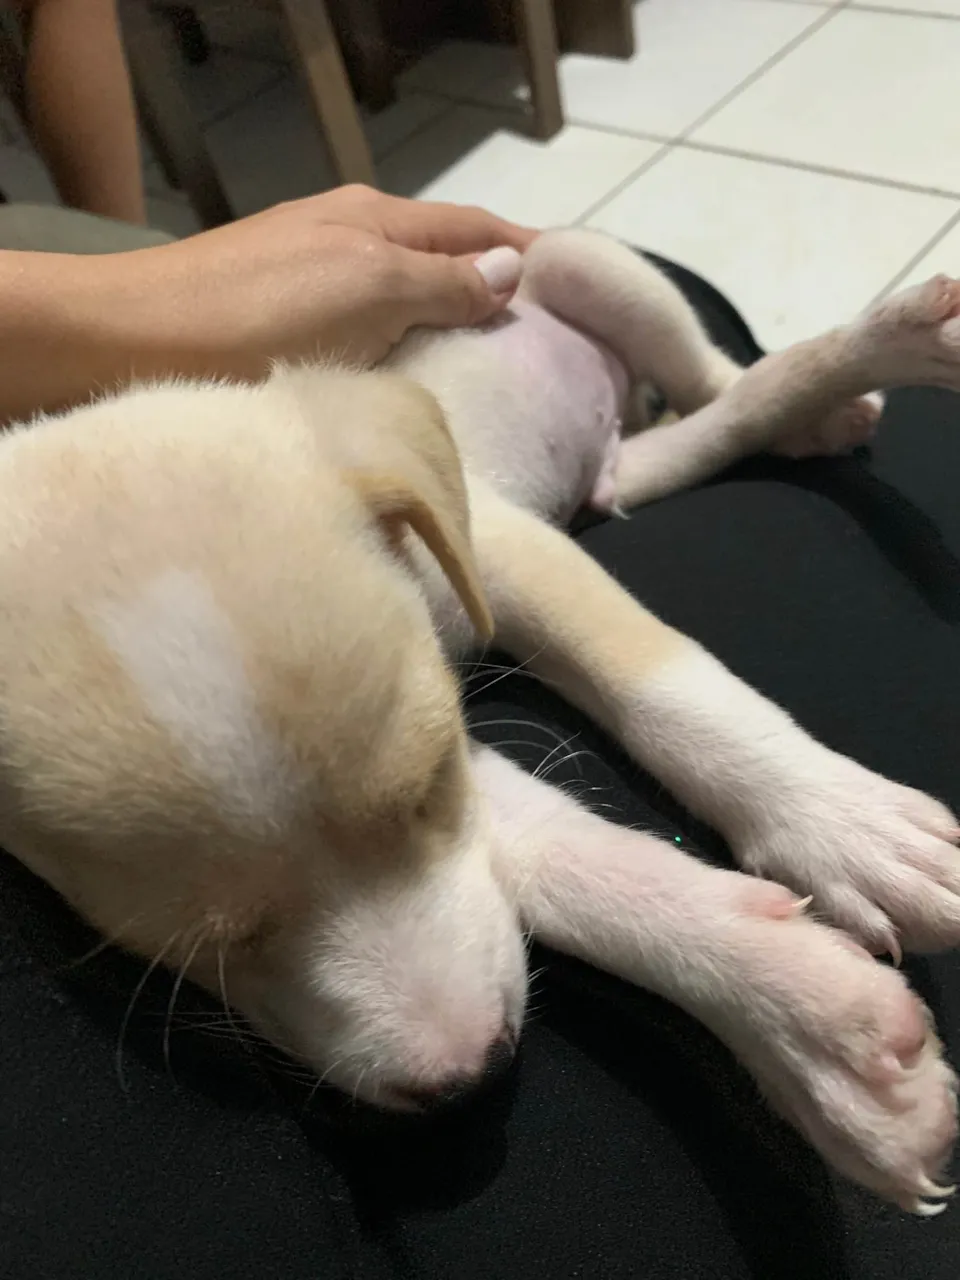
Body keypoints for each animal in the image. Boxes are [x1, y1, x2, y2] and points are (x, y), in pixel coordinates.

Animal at [3, 228, 960, 1212]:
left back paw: (853, 372)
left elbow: (666, 684)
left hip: (581, 259)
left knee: (715, 379)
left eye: (425, 794)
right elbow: (563, 859)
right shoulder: (442, 716)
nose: (471, 1075)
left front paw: (845, 828)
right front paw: (808, 1025)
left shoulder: (495, 560)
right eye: (205, 946)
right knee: (686, 441)